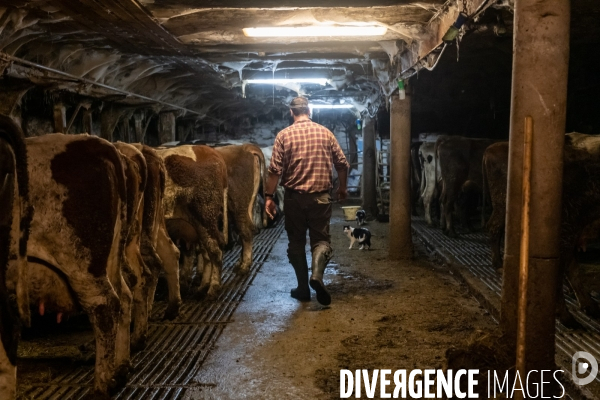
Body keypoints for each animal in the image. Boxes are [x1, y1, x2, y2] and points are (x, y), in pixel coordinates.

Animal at [23, 134, 132, 396]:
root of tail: (94, 142)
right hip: (112, 255)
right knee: (124, 295)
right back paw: (121, 369)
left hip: (80, 261)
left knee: (104, 305)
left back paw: (102, 385)